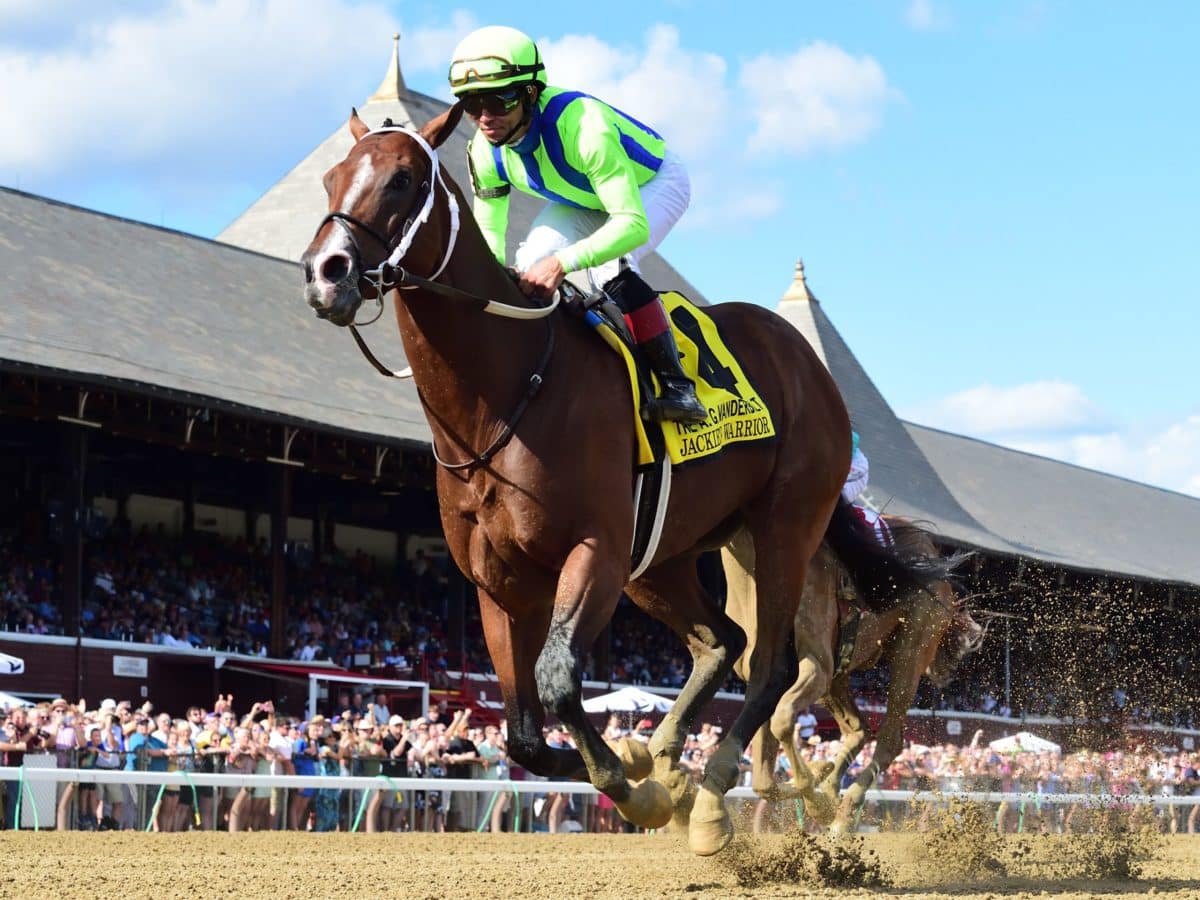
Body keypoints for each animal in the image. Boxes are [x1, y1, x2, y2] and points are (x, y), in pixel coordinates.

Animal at [300, 105, 945, 854]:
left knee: (772, 669)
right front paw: (641, 766)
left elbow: (556, 680)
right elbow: (521, 734)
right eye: (332, 178)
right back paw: (671, 757)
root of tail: (809, 363)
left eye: (402, 178)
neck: (505, 392)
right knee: (724, 641)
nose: (326, 272)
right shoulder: (497, 581)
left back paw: (719, 795)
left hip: (784, 532)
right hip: (666, 560)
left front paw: (640, 790)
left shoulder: (596, 552)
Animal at [724, 525, 979, 835]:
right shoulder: (764, 678)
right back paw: (832, 789)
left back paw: (843, 815)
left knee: (889, 738)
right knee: (860, 729)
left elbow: (782, 721)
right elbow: (763, 780)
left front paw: (817, 798)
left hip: (911, 648)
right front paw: (818, 780)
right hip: (841, 673)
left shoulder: (816, 666)